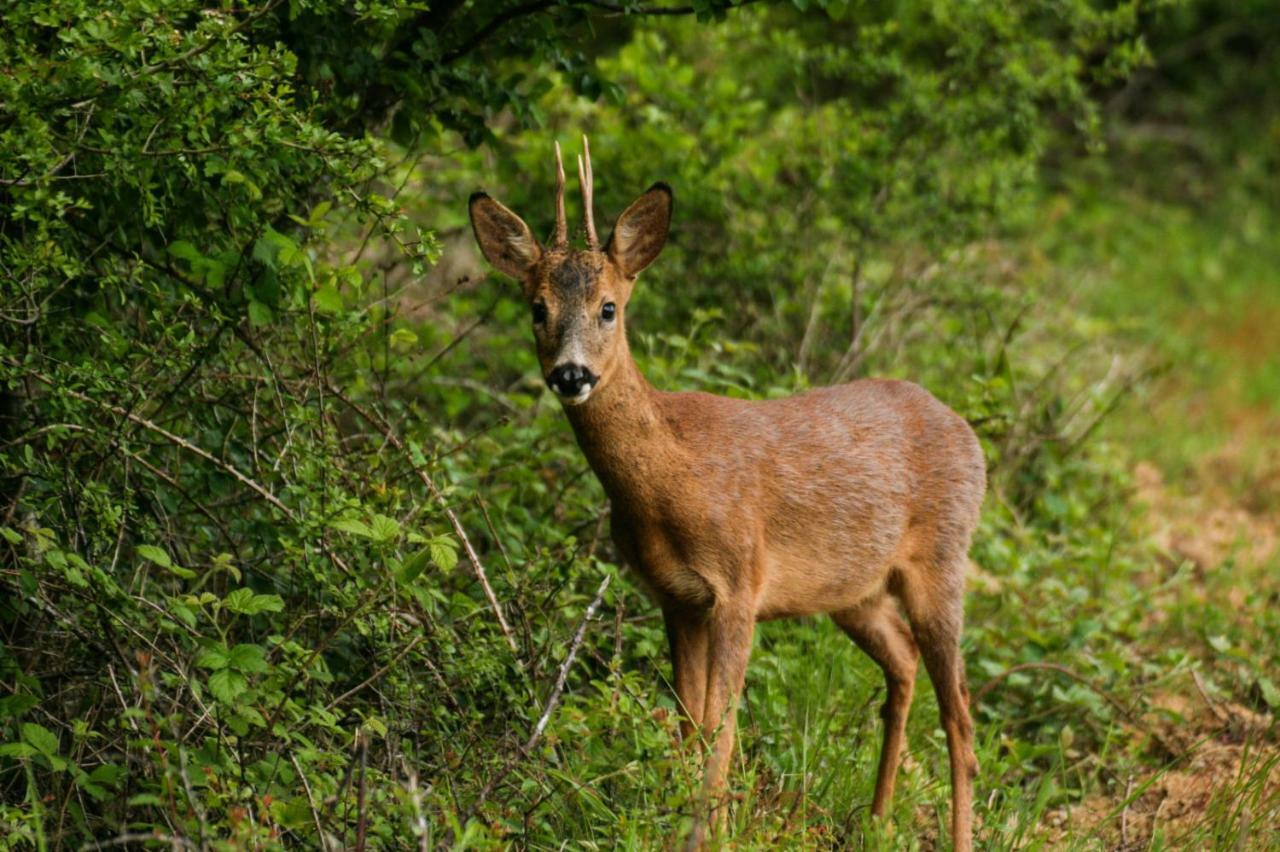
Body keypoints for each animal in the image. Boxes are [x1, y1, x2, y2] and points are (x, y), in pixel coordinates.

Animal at [471, 136, 977, 844]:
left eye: (609, 307)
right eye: (537, 308)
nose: (571, 374)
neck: (668, 487)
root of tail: (966, 430)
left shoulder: (740, 583)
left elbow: (723, 731)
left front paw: (703, 833)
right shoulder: (676, 597)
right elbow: (691, 725)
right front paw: (684, 825)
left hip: (942, 561)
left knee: (961, 715)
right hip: (855, 590)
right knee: (901, 664)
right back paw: (874, 821)